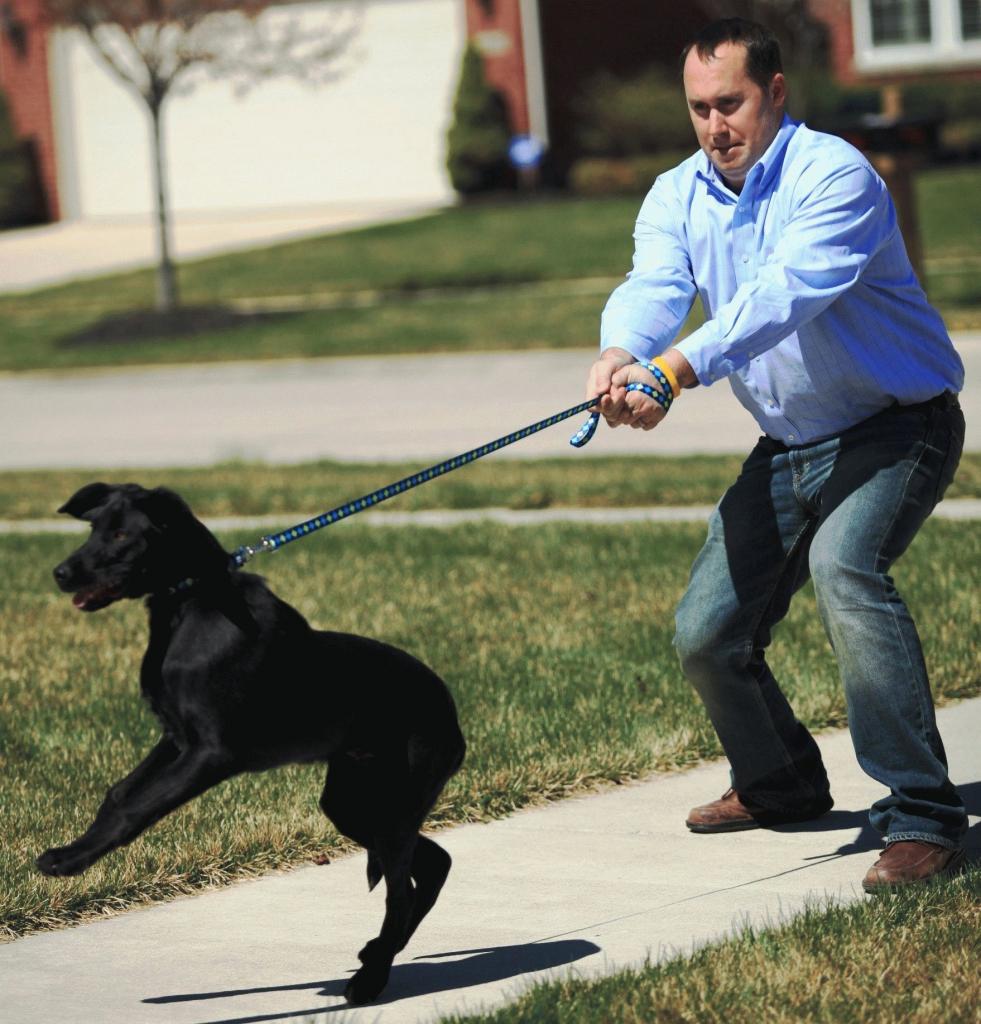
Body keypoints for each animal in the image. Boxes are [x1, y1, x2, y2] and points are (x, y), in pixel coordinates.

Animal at [39, 483, 468, 1003]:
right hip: (354, 802)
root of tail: (452, 713)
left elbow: (134, 809)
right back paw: (376, 953)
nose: (61, 573)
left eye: (121, 534)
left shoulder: (211, 753)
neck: (190, 602)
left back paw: (371, 978)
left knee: (402, 892)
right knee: (434, 863)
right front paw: (74, 849)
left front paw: (68, 862)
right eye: (93, 527)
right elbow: (119, 795)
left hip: (395, 803)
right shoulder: (176, 740)